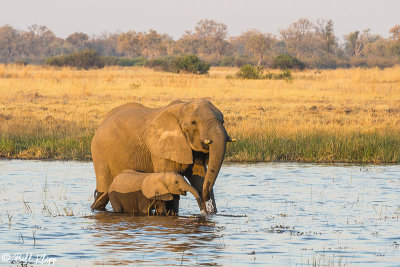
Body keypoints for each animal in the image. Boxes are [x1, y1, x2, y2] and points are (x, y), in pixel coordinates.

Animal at [90, 99, 234, 215]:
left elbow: (200, 180)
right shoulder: (160, 150)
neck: (181, 109)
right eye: (194, 123)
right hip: (99, 152)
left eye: (223, 121)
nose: (205, 211)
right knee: (103, 188)